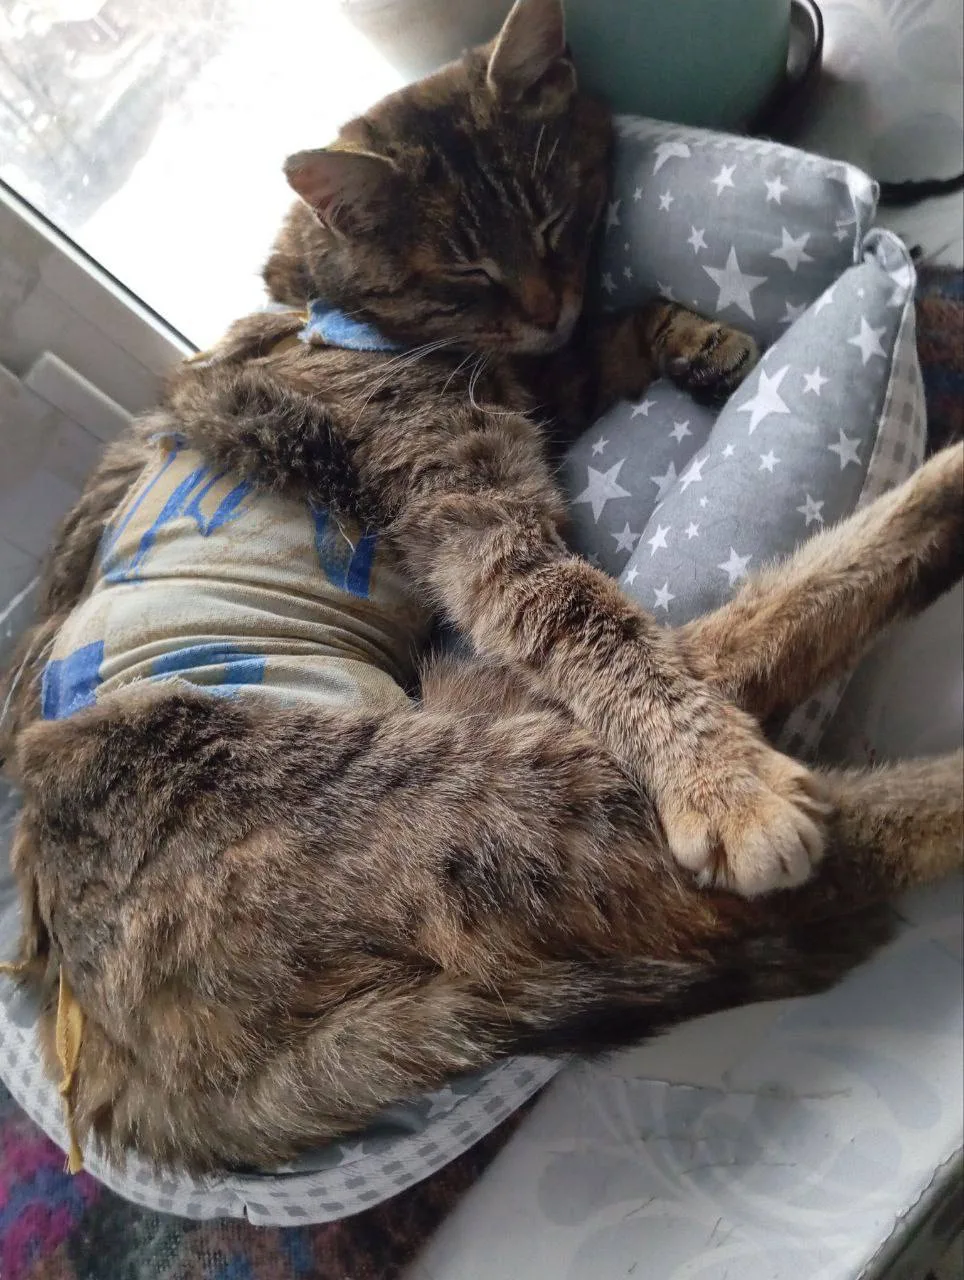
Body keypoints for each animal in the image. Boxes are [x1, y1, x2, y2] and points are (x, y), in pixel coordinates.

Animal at [0, 0, 961, 1177]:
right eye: (464, 274)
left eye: (551, 222)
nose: (544, 304)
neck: (321, 301)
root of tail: (148, 1082)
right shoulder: (483, 531)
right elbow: (604, 634)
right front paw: (722, 783)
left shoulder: (528, 392)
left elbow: (612, 334)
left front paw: (699, 335)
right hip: (511, 778)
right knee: (770, 722)